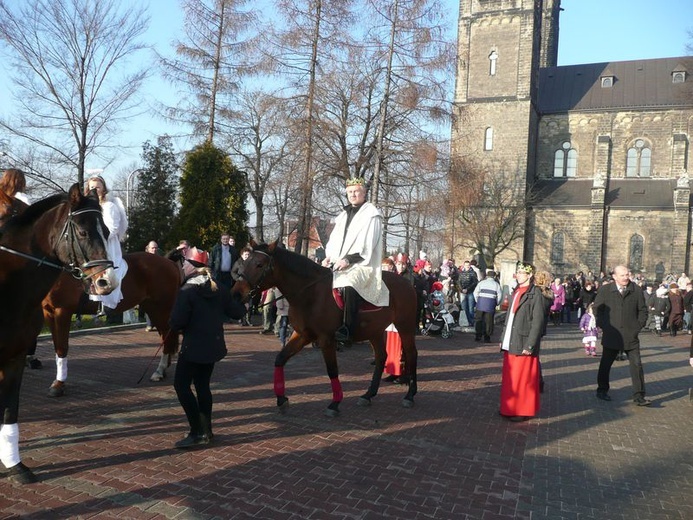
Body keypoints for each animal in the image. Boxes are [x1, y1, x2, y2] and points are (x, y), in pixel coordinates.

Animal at [0, 184, 113, 484]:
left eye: (107, 231)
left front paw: (16, 465)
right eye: (83, 232)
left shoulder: (15, 357)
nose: (106, 282)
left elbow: (9, 409)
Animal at [40, 250, 181, 396]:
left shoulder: (62, 312)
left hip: (161, 309)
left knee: (167, 336)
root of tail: (169, 262)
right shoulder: (49, 313)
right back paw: (162, 370)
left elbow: (62, 348)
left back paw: (159, 371)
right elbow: (57, 347)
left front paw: (59, 384)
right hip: (152, 308)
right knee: (166, 336)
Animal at [231, 242, 416, 416]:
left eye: (259, 264)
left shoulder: (326, 339)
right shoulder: (302, 335)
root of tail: (407, 283)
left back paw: (410, 395)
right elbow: (280, 358)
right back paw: (368, 395)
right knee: (381, 357)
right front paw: (281, 399)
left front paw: (335, 403)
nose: (236, 293)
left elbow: (332, 369)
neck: (310, 292)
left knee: (411, 354)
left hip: (405, 327)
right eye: (245, 261)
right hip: (374, 332)